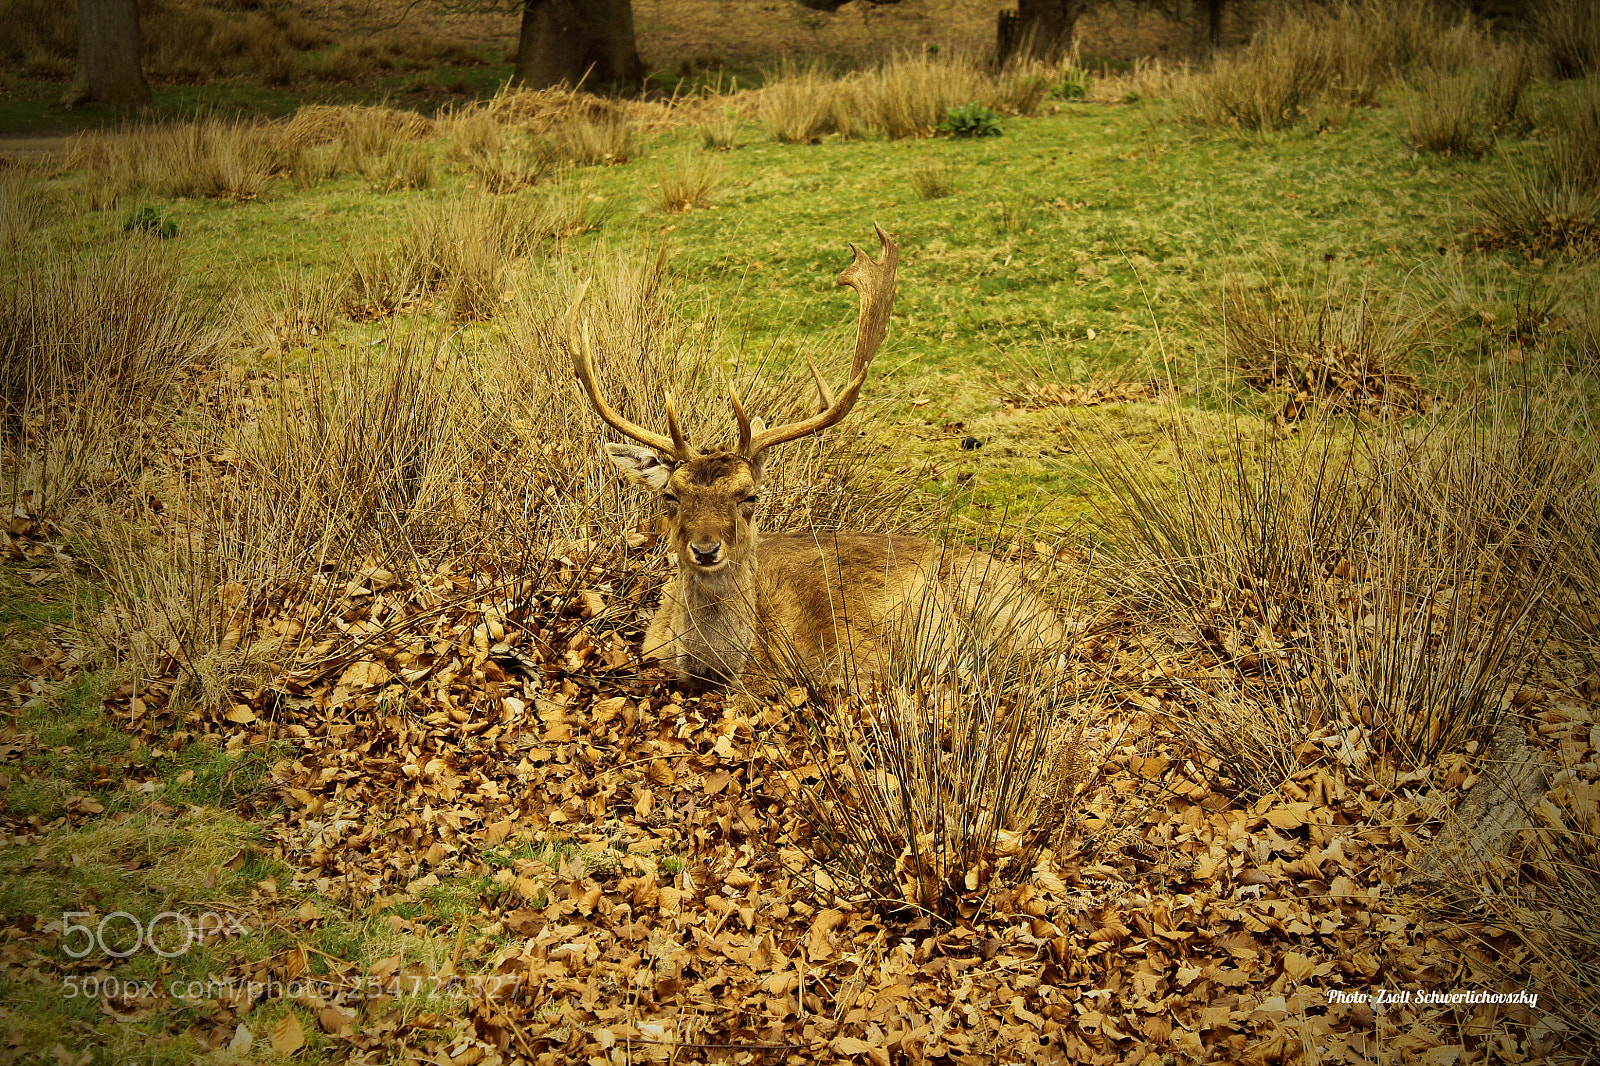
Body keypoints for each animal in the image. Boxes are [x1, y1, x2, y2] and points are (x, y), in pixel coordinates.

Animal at [568, 225, 1065, 687]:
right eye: (671, 496)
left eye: (750, 497)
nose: (706, 549)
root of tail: (1051, 611)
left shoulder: (857, 666)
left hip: (1007, 621)